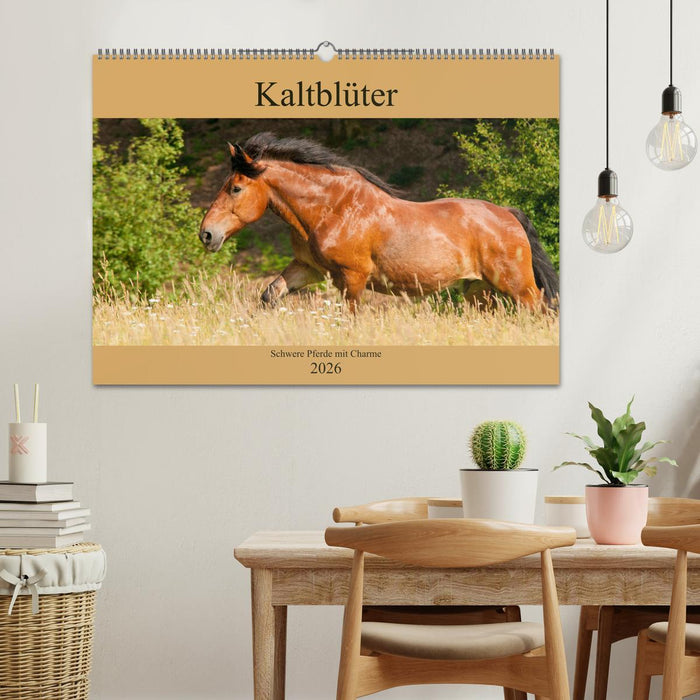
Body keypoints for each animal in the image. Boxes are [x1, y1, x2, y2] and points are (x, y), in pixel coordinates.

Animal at [199, 132, 558, 312]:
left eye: (235, 188)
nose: (207, 234)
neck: (332, 209)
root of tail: (508, 214)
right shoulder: (308, 269)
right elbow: (270, 295)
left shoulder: (352, 278)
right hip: (480, 291)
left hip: (517, 286)